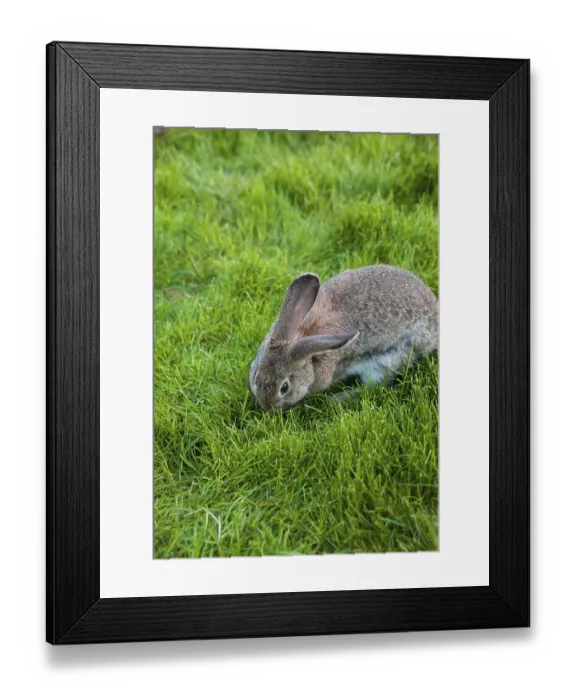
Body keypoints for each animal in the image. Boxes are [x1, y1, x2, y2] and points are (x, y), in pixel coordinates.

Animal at [249, 264, 438, 411]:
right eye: (257, 374)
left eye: (285, 387)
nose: (266, 407)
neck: (304, 336)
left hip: (385, 361)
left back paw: (337, 398)